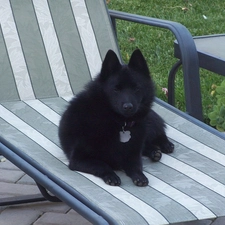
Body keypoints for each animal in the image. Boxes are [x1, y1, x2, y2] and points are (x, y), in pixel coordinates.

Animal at [58, 49, 174, 186]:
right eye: (116, 89)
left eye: (136, 88)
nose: (128, 107)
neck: (118, 123)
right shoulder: (78, 159)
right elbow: (101, 164)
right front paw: (111, 175)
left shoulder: (133, 153)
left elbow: (135, 165)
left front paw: (139, 176)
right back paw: (154, 151)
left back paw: (164, 145)